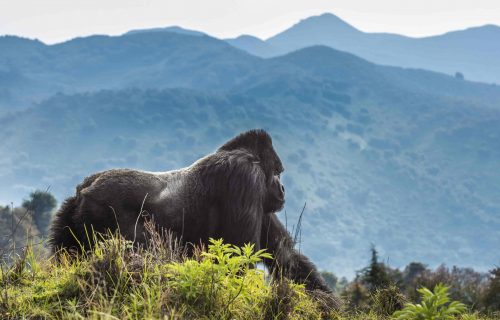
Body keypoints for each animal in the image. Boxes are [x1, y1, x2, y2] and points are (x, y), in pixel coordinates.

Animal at [49, 129, 336, 298]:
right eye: (277, 172)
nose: (282, 189)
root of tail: (84, 188)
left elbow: (285, 255)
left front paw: (324, 301)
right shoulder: (246, 178)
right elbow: (238, 255)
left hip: (71, 217)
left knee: (65, 256)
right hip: (99, 209)